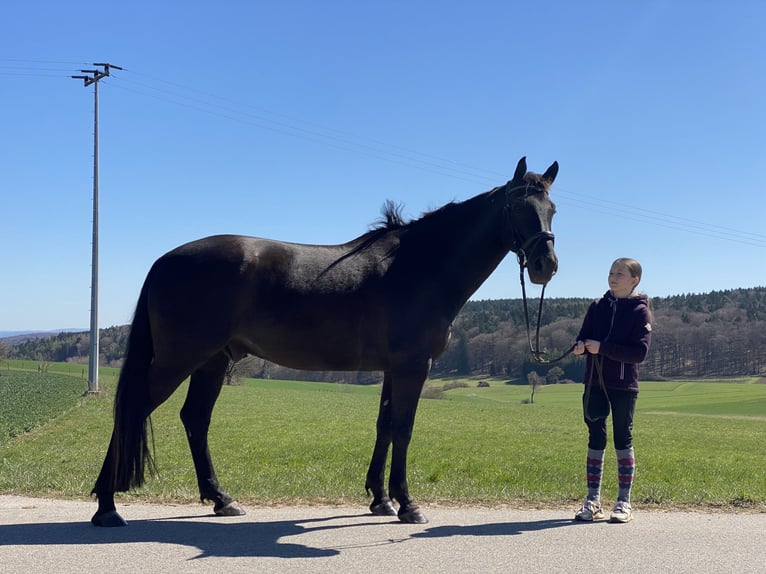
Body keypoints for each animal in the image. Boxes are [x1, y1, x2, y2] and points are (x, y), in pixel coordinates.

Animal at [90, 156, 559, 527]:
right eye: (517, 206)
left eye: (552, 208)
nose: (546, 265)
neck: (421, 265)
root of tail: (164, 260)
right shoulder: (414, 365)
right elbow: (403, 428)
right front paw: (407, 504)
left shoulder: (392, 368)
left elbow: (384, 426)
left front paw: (380, 499)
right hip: (179, 360)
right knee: (134, 409)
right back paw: (107, 506)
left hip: (212, 361)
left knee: (195, 419)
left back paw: (222, 499)